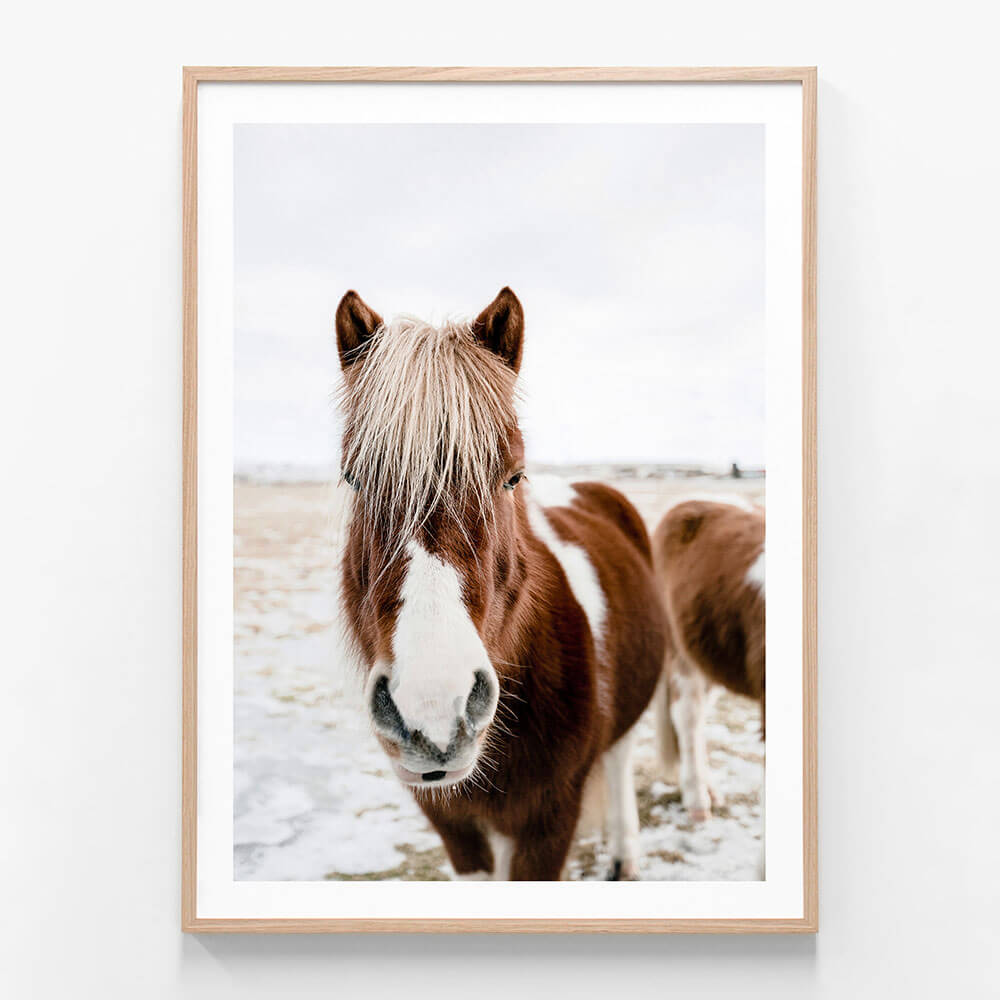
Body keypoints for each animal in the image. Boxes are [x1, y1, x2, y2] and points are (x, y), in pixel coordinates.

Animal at [334, 287, 668, 880]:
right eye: (352, 477)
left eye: (513, 476)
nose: (433, 711)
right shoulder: (454, 826)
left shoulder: (549, 823)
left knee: (621, 756)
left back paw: (624, 855)